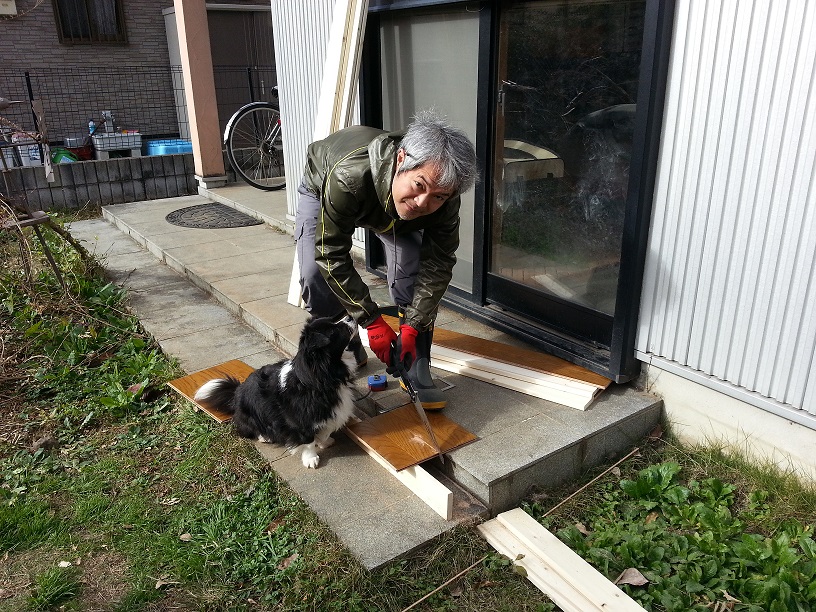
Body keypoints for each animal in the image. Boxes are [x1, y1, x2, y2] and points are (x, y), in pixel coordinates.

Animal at [194, 316, 358, 468]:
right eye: (334, 331)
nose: (349, 316)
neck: (322, 377)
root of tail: (236, 394)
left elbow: (325, 431)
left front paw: (325, 442)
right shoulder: (300, 422)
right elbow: (308, 440)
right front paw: (311, 459)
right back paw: (265, 437)